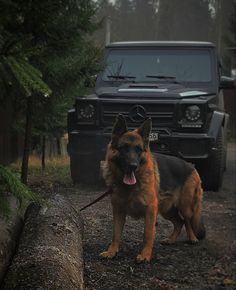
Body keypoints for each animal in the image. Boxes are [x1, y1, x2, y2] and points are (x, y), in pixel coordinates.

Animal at [100, 114, 206, 262]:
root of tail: (192, 166)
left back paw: (192, 237)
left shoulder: (150, 210)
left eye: (138, 149)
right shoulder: (118, 211)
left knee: (187, 220)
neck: (130, 187)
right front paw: (112, 251)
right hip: (167, 210)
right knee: (179, 222)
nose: (133, 166)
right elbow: (115, 234)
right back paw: (171, 239)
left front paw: (145, 255)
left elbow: (148, 234)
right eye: (124, 148)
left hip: (185, 206)